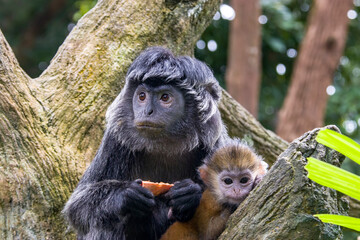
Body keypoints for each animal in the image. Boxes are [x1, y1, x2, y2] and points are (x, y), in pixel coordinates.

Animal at [62, 46, 228, 239]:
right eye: (142, 96)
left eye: (165, 97)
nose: (147, 111)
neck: (166, 144)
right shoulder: (115, 139)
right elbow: (77, 205)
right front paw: (125, 195)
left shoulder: (214, 140)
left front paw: (189, 194)